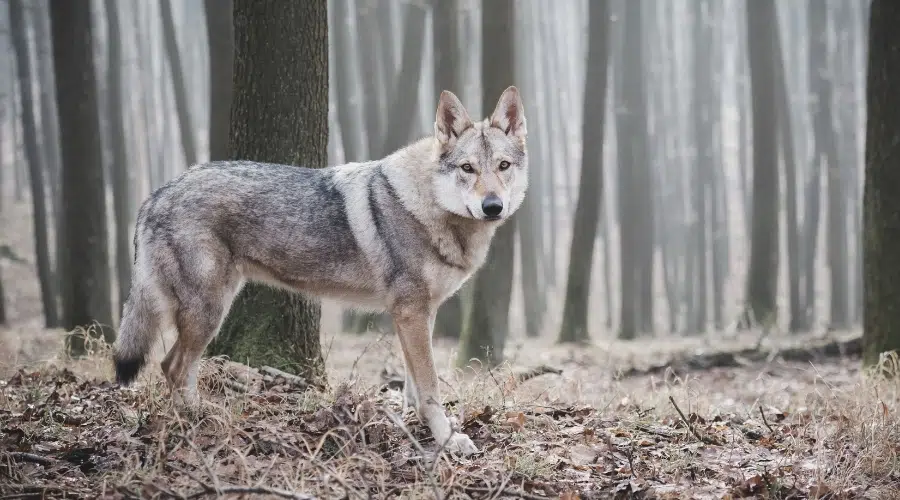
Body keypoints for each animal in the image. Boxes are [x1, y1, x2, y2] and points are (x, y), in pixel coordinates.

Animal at [113, 87, 532, 458]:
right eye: (467, 168)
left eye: (503, 166)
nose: (492, 206)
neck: (428, 205)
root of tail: (156, 195)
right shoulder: (411, 312)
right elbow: (430, 389)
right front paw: (447, 441)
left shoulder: (417, 315)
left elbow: (415, 387)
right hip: (209, 312)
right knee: (173, 367)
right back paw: (197, 422)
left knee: (172, 366)